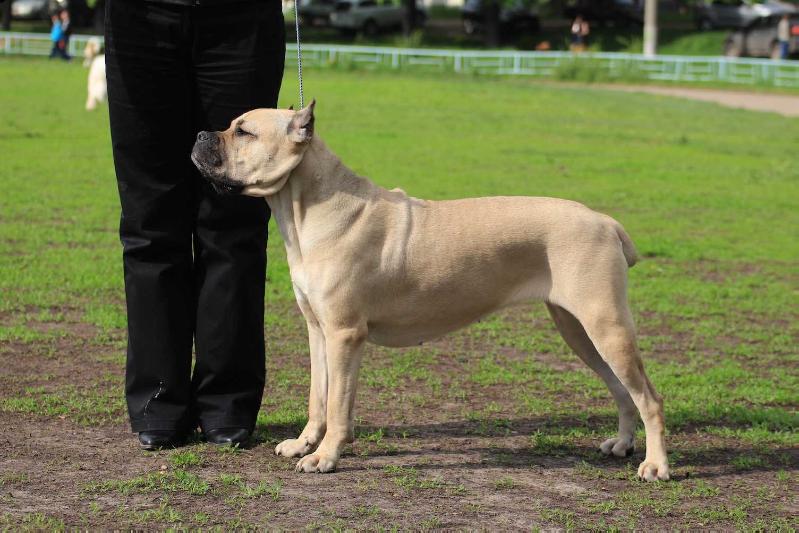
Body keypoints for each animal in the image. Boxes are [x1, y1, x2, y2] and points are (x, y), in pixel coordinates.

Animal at [191, 102, 672, 480]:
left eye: (244, 131)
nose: (199, 134)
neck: (306, 206)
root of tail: (604, 221)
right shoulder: (318, 330)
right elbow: (318, 398)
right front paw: (303, 444)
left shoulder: (345, 335)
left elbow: (339, 405)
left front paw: (325, 457)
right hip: (578, 330)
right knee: (621, 389)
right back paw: (623, 445)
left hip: (606, 325)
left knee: (649, 397)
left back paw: (655, 465)